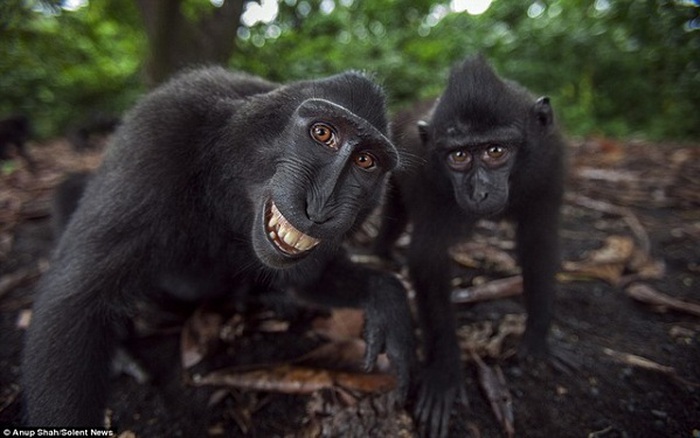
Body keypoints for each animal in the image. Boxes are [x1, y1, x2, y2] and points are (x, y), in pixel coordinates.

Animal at [20, 66, 416, 426]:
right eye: (323, 133)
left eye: (366, 161)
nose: (322, 205)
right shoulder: (162, 129)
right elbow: (76, 300)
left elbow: (311, 280)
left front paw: (388, 297)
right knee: (69, 193)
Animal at [374, 54, 568, 438]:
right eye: (459, 156)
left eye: (496, 150)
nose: (479, 192)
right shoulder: (426, 175)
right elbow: (429, 259)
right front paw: (445, 371)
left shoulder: (549, 162)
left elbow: (538, 242)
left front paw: (536, 339)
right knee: (395, 215)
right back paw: (381, 251)